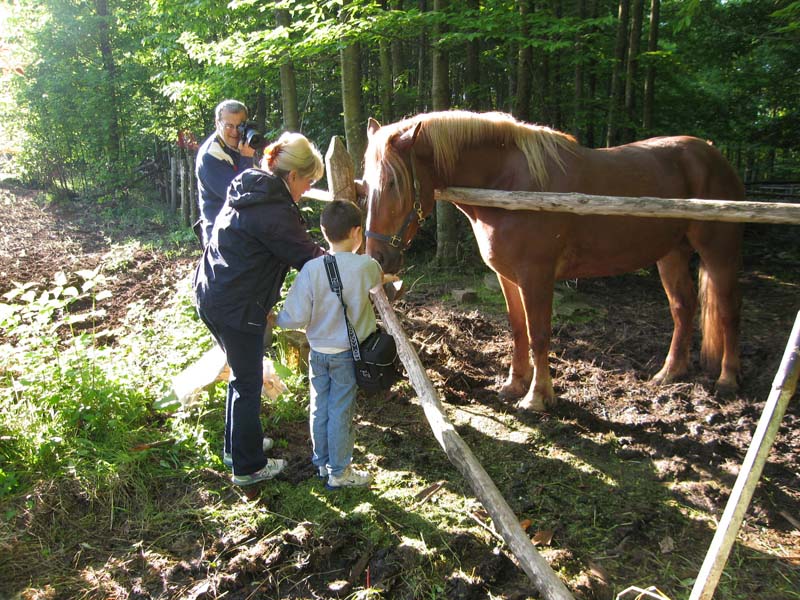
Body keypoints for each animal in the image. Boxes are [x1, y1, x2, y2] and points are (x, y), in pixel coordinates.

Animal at [362, 110, 744, 410]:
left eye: (394, 182)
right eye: (365, 184)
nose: (376, 256)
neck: (508, 184)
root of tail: (713, 154)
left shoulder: (537, 276)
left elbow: (539, 335)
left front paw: (537, 397)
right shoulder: (507, 276)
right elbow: (518, 329)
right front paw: (514, 385)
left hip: (719, 251)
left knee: (727, 310)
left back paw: (728, 379)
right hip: (671, 253)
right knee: (683, 306)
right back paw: (670, 372)